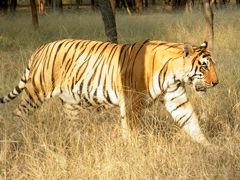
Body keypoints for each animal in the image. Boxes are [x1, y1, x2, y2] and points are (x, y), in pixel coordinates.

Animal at [0, 39, 218, 146]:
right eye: (204, 66)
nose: (216, 83)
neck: (174, 74)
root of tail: (41, 47)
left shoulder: (176, 99)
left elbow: (191, 122)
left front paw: (210, 148)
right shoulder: (132, 101)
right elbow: (131, 128)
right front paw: (133, 150)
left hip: (70, 102)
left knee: (73, 125)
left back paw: (83, 144)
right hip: (36, 91)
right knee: (18, 113)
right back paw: (17, 137)